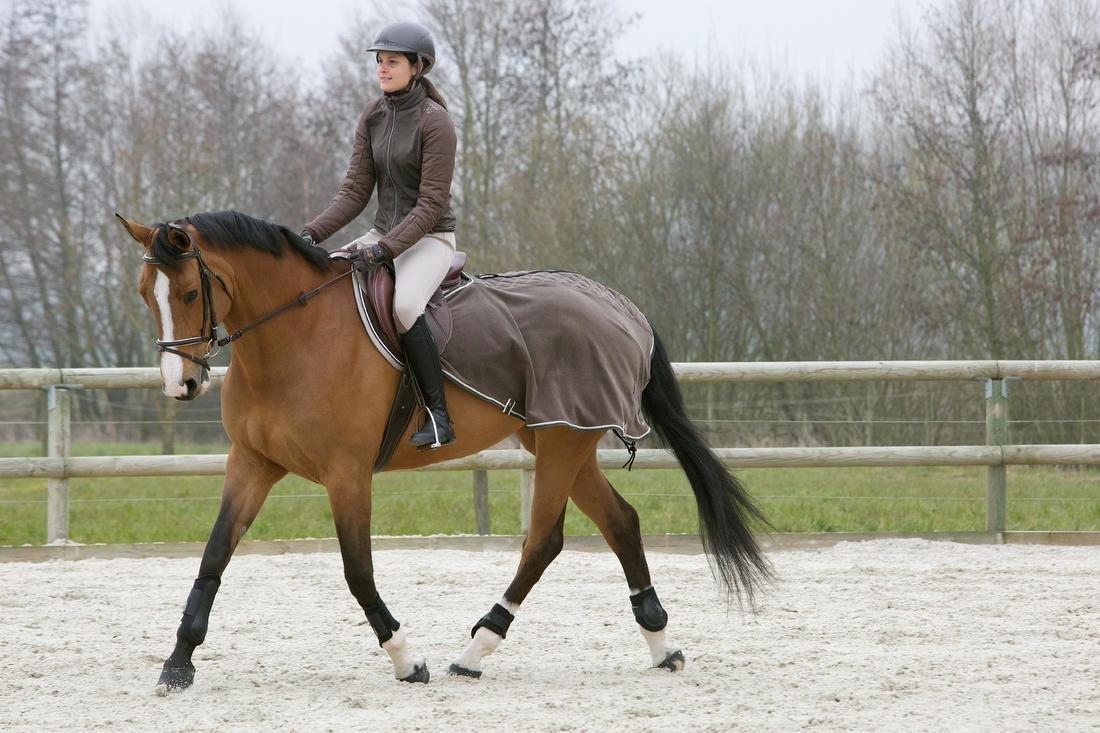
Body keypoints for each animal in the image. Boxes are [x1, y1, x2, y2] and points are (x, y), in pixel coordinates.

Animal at [115, 210, 771, 692]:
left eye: (191, 291)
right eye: (147, 293)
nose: (182, 385)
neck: (294, 338)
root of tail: (620, 306)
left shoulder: (347, 474)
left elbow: (357, 571)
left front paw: (406, 660)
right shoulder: (251, 465)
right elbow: (213, 557)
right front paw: (178, 664)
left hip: (562, 441)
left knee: (544, 541)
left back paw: (475, 649)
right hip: (562, 437)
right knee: (621, 523)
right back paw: (661, 645)